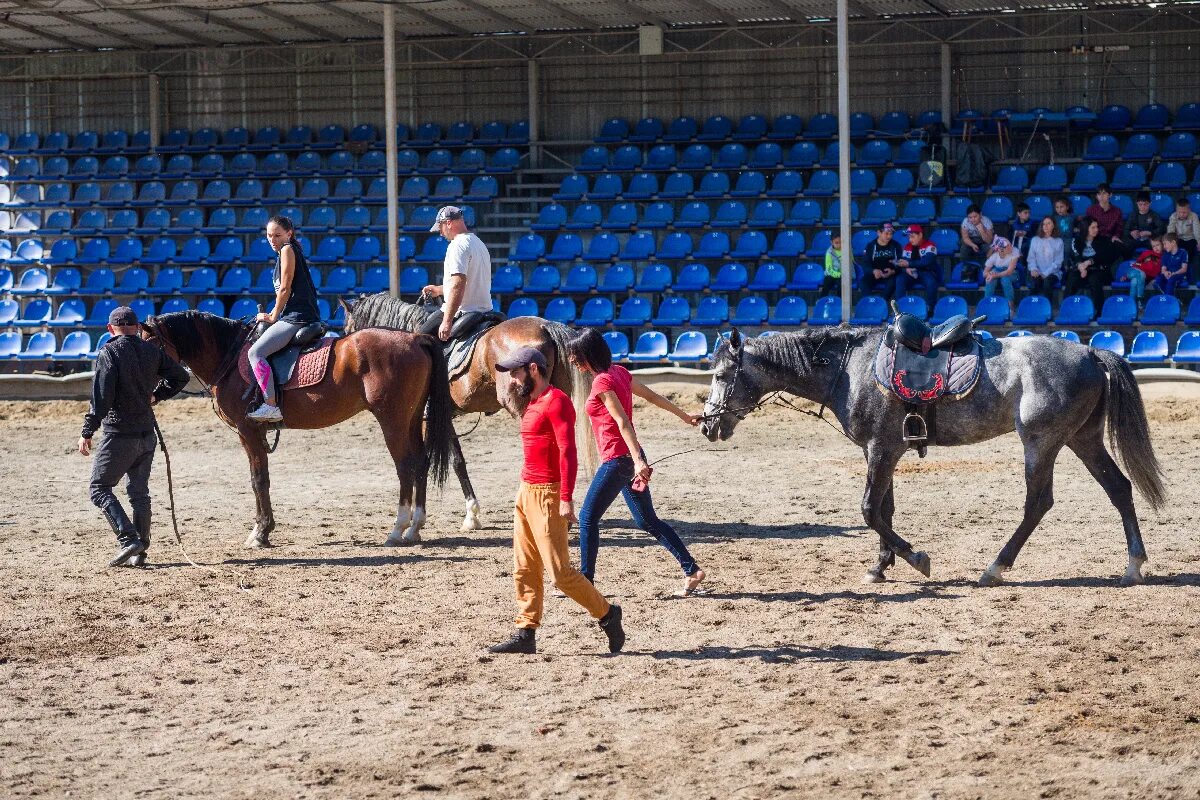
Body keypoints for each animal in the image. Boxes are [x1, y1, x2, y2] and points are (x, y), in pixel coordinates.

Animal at [140, 309, 456, 546]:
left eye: (151, 346)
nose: (151, 390)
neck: (229, 356)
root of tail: (415, 338)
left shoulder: (247, 431)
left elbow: (258, 480)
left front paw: (260, 533)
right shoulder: (255, 433)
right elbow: (263, 479)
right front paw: (264, 530)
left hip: (393, 420)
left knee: (405, 466)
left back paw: (397, 529)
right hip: (411, 418)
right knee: (421, 462)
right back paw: (415, 528)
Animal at [338, 293, 590, 532]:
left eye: (346, 329)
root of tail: (545, 327)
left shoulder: (429, 419)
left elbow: (444, 461)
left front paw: (467, 514)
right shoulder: (443, 417)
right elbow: (456, 460)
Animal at [700, 326, 1161, 587]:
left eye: (722, 375)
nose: (707, 425)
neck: (850, 368)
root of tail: (1090, 352)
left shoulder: (881, 449)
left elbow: (870, 510)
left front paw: (916, 559)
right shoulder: (883, 450)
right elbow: (884, 510)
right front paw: (880, 566)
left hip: (1041, 441)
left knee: (1038, 503)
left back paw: (995, 568)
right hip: (1083, 439)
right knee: (1119, 489)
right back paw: (1133, 566)